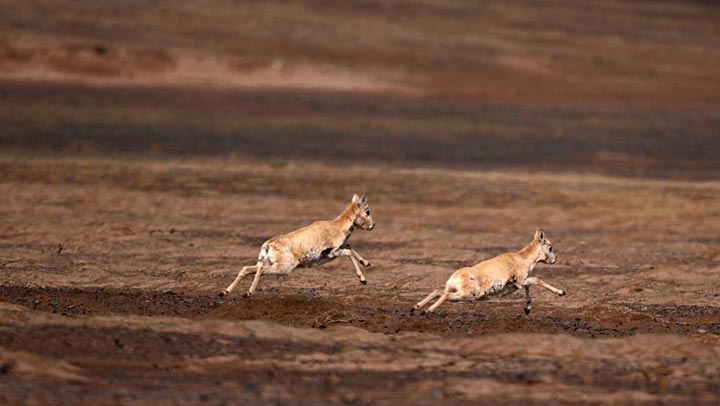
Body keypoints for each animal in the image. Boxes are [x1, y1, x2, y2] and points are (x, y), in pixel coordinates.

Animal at [219, 193, 376, 298]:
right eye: (367, 211)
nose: (373, 225)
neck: (337, 226)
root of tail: (268, 245)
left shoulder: (339, 248)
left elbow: (350, 246)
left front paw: (366, 263)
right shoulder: (333, 252)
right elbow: (349, 252)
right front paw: (363, 279)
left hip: (267, 263)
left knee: (246, 269)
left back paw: (225, 292)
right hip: (283, 267)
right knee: (260, 270)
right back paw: (248, 293)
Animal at [414, 228, 564, 314]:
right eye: (550, 247)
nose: (555, 259)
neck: (521, 258)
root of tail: (455, 277)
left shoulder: (519, 284)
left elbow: (530, 286)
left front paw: (527, 309)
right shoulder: (520, 281)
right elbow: (537, 280)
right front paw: (562, 292)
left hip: (455, 291)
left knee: (438, 291)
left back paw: (415, 308)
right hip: (467, 295)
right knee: (444, 295)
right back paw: (427, 310)